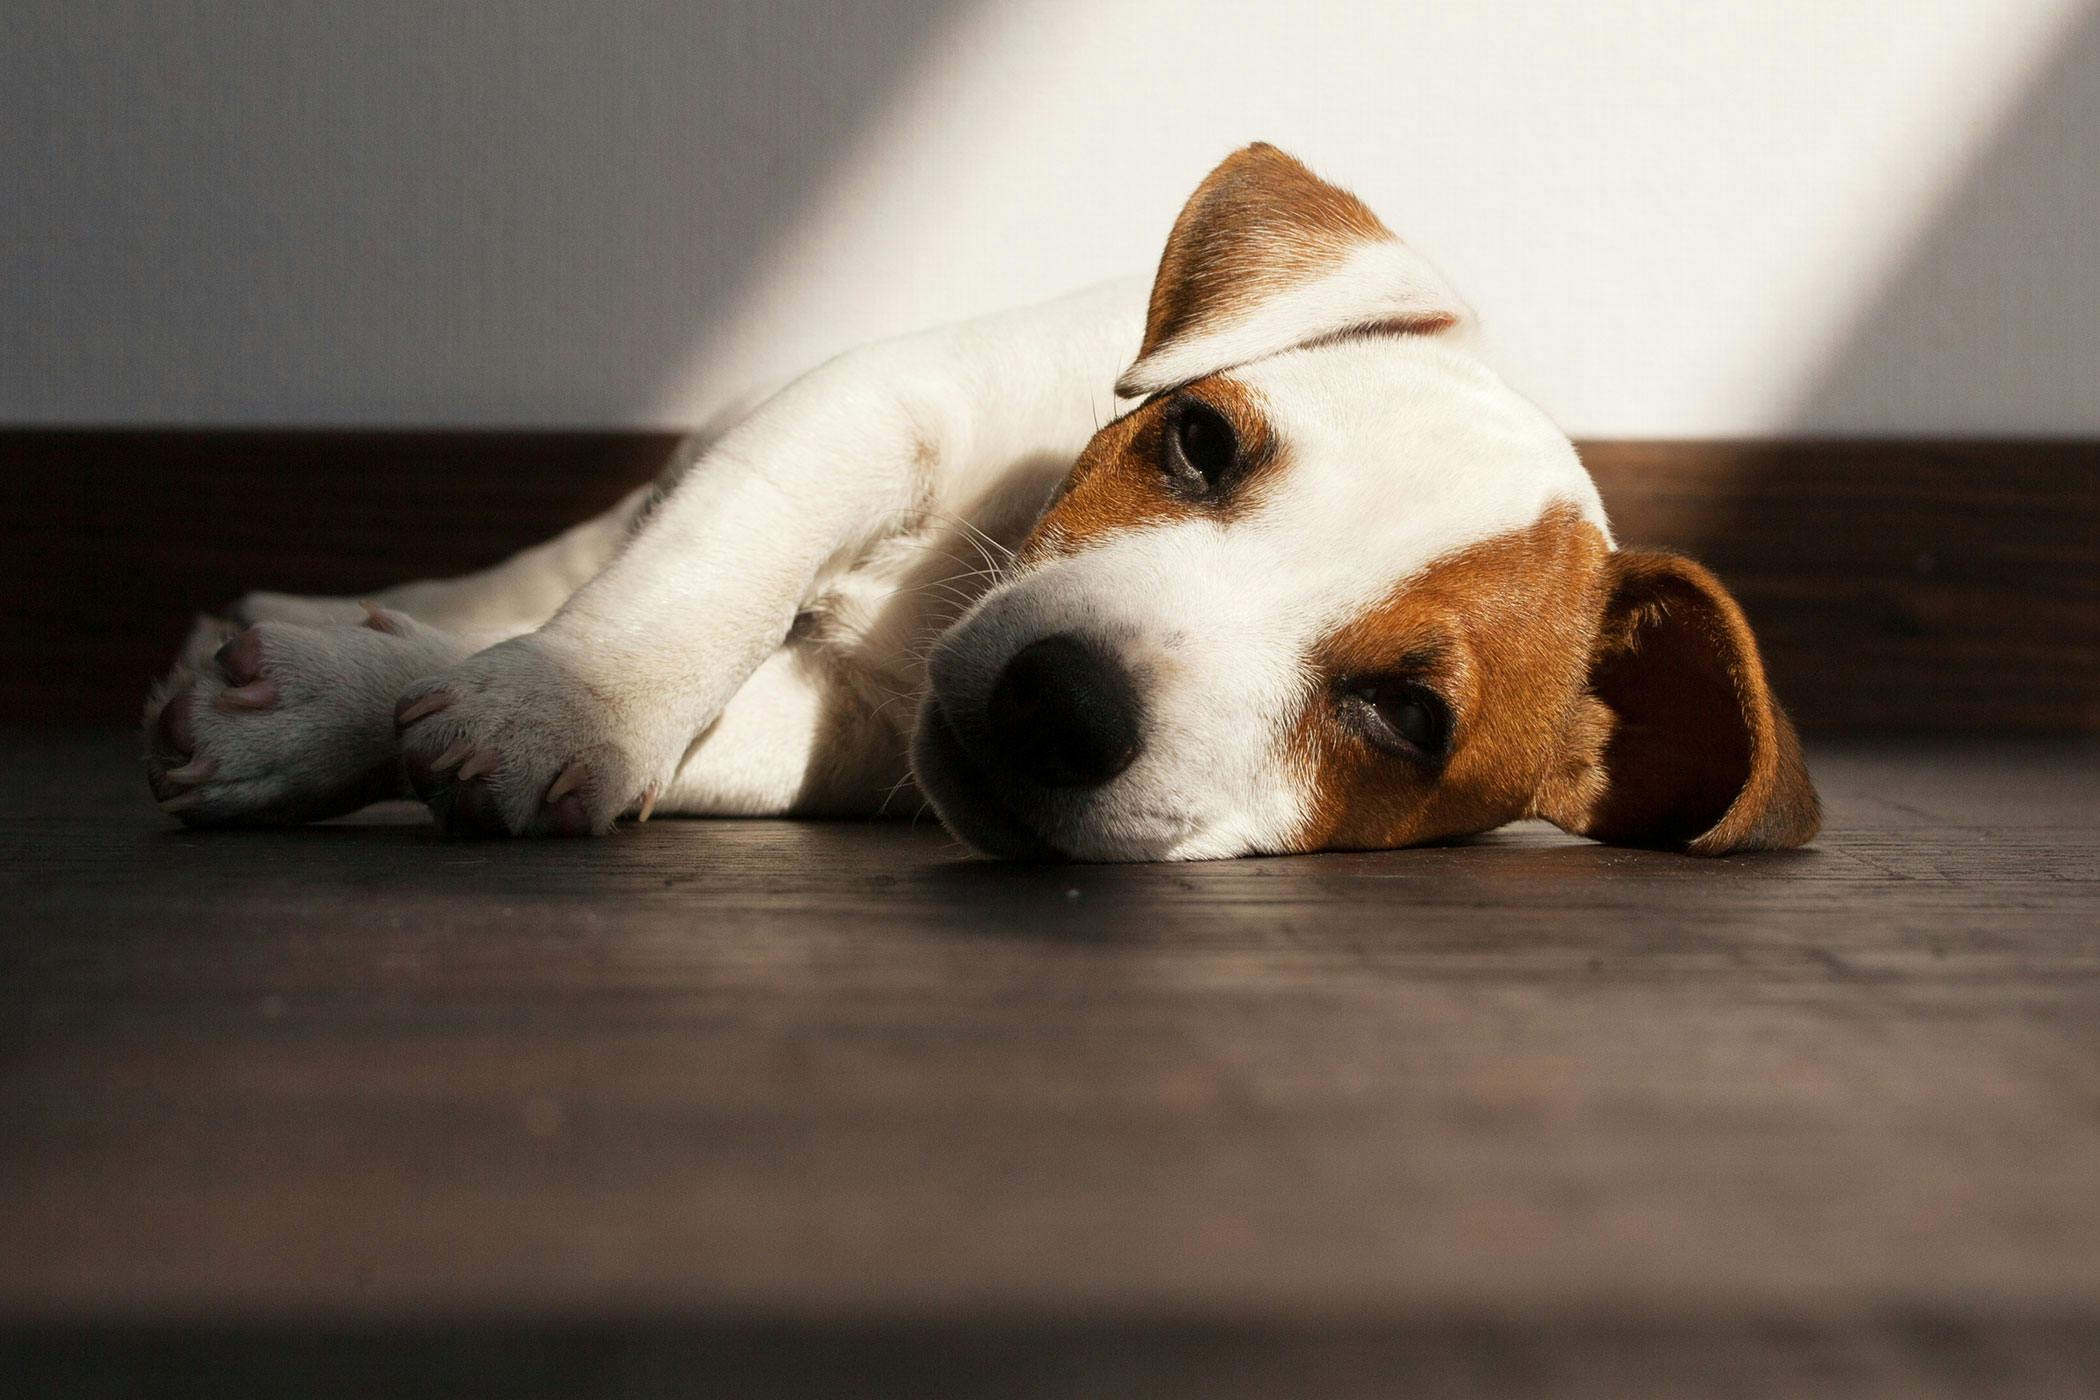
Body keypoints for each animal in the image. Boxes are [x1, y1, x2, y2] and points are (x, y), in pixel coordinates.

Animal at [148, 144, 1822, 864]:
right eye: (1199, 445)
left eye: (1408, 717)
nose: (1061, 706)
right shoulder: (866, 410)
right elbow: (700, 575)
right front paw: (554, 702)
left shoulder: (846, 735)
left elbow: (722, 722)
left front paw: (388, 714)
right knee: (553, 568)